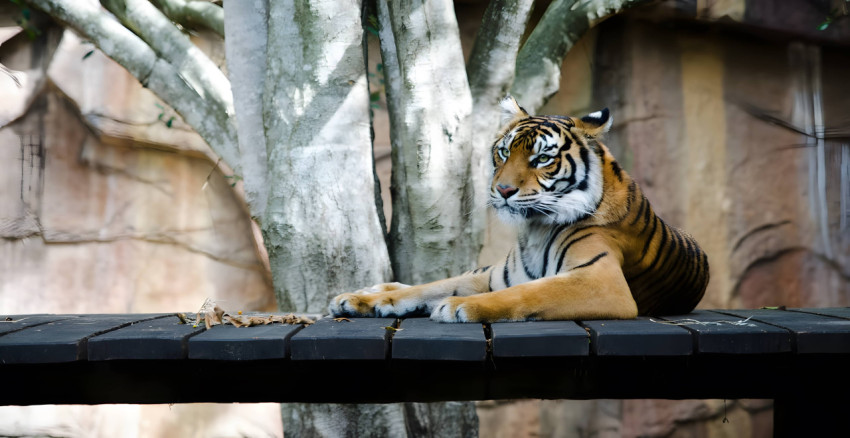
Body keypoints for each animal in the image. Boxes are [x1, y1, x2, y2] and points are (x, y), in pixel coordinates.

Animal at [329, 96, 709, 322]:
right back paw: (369, 292)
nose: (504, 190)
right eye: (503, 152)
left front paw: (459, 306)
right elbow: (428, 287)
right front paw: (360, 301)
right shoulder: (495, 275)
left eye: (541, 159)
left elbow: (528, 291)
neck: (536, 228)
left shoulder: (602, 281)